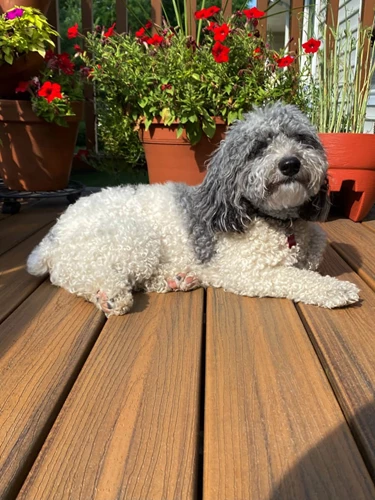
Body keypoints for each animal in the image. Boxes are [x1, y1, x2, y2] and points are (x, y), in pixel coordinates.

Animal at [27, 102, 362, 316]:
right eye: (259, 148)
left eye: (301, 139)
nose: (290, 163)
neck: (277, 221)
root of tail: (54, 234)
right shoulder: (249, 271)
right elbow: (295, 277)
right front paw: (336, 289)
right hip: (133, 241)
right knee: (75, 274)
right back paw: (109, 295)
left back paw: (176, 279)